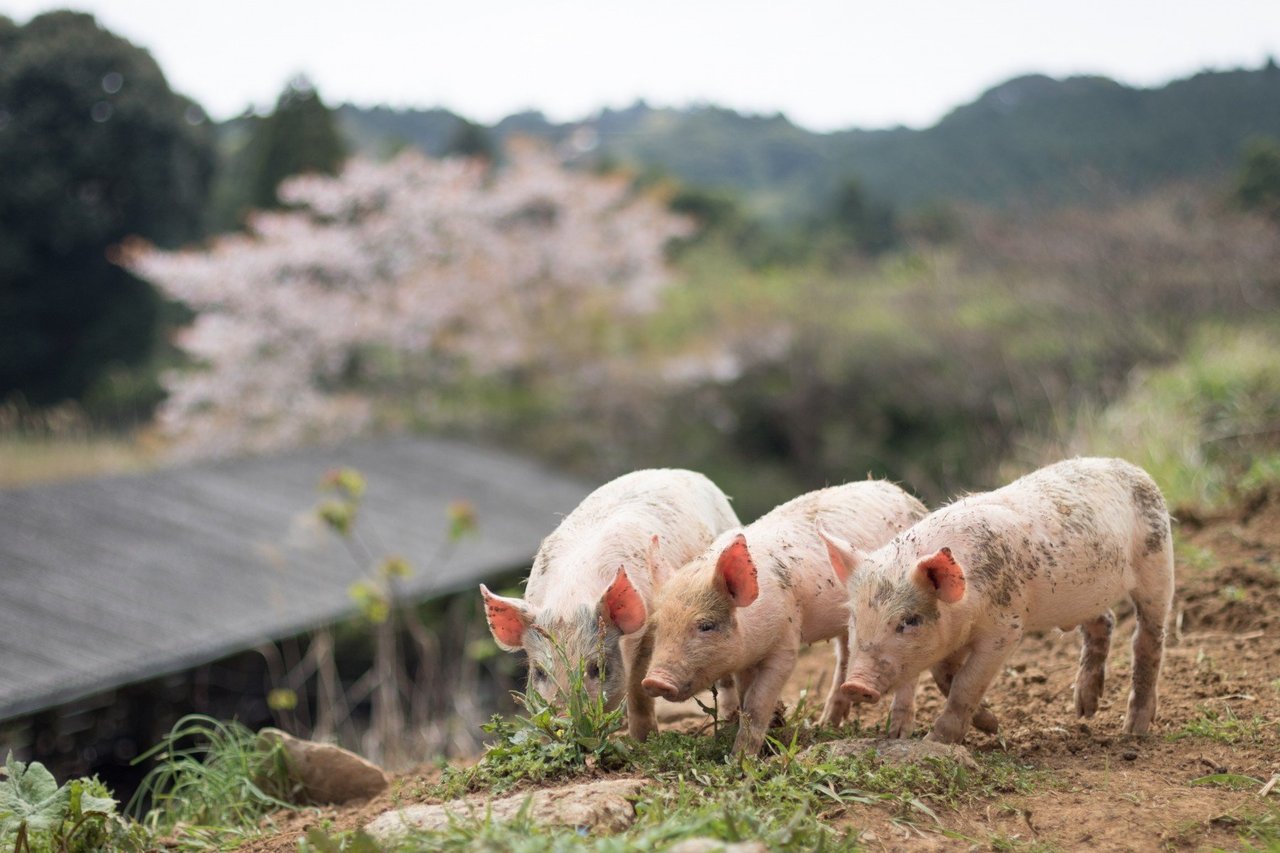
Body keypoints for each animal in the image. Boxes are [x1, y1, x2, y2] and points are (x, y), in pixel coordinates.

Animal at [481, 466, 742, 737]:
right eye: (539, 672)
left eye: (597, 667)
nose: (564, 720)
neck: (570, 600)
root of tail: (685, 473)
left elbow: (638, 689)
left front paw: (643, 740)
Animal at [616, 479, 926, 753]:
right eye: (659, 627)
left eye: (706, 625)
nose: (654, 681)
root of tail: (900, 491)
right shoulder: (743, 660)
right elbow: (744, 698)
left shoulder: (785, 645)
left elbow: (756, 705)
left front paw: (740, 759)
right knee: (845, 656)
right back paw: (825, 724)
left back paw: (897, 734)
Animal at [824, 455, 1172, 742]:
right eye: (854, 617)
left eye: (909, 620)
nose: (855, 685)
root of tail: (1130, 467)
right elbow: (944, 677)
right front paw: (991, 726)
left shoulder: (1005, 630)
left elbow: (966, 683)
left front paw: (937, 740)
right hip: (1085, 597)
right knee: (1105, 621)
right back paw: (1084, 710)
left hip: (1158, 561)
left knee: (1148, 638)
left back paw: (1134, 731)